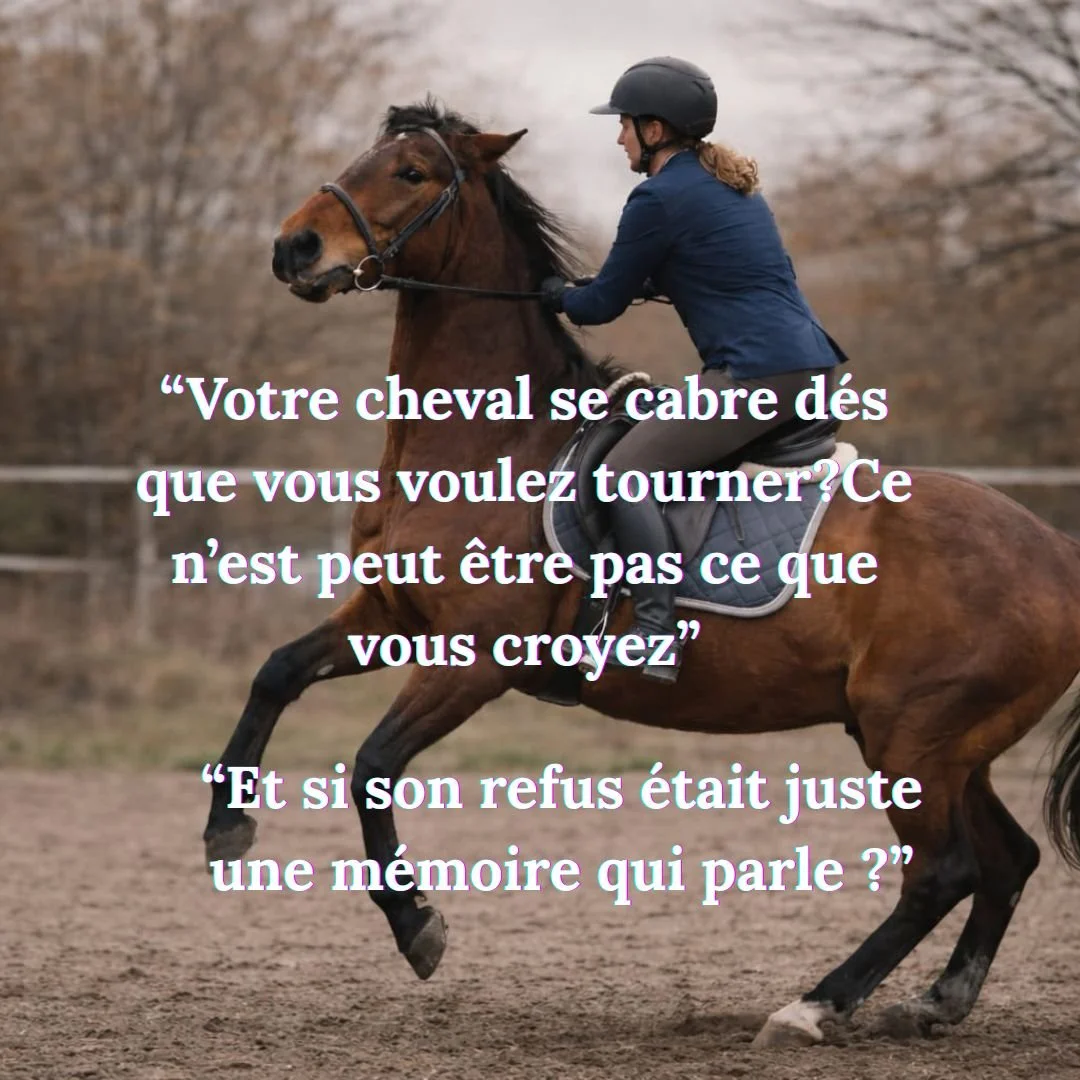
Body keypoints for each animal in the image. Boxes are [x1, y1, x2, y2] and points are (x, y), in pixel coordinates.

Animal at [204, 97, 1080, 1049]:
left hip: (913, 737)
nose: (294, 249)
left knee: (943, 870)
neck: (495, 440)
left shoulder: (476, 660)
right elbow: (276, 673)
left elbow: (369, 765)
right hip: (947, 744)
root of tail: (1058, 550)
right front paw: (227, 828)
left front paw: (418, 927)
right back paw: (936, 1001)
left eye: (411, 172)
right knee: (1005, 859)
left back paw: (812, 1007)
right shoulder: (392, 616)